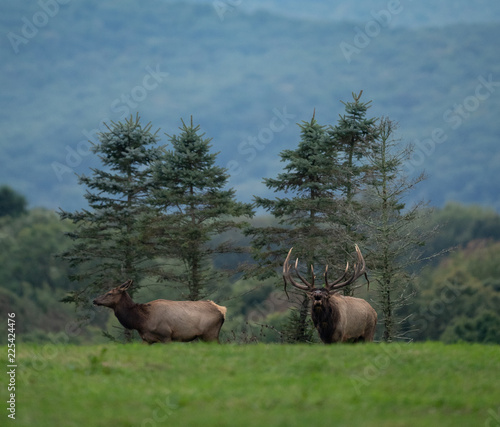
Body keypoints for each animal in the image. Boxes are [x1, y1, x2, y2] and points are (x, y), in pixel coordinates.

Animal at [93, 280, 227, 344]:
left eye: (109, 293)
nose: (95, 300)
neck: (141, 321)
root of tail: (222, 310)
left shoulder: (166, 336)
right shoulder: (147, 339)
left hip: (210, 333)